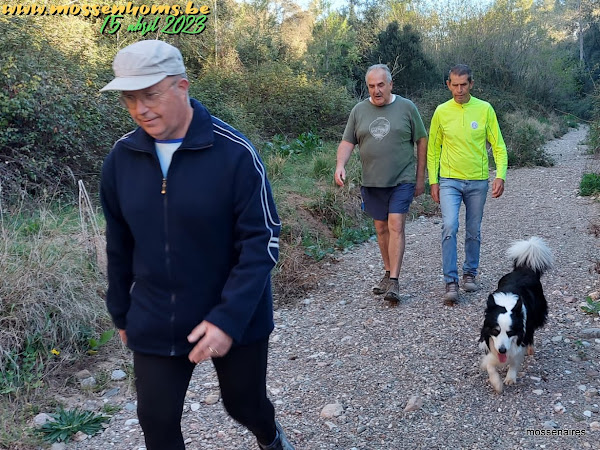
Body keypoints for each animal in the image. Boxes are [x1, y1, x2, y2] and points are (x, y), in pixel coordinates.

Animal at [479, 237, 553, 393]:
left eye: (510, 332)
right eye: (496, 331)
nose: (502, 350)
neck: (507, 305)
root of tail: (524, 268)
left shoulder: (519, 337)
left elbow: (515, 360)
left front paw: (510, 378)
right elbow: (490, 365)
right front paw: (496, 383)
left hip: (536, 317)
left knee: (531, 335)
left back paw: (530, 349)